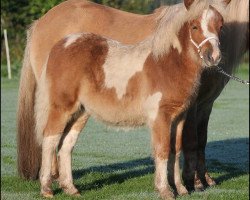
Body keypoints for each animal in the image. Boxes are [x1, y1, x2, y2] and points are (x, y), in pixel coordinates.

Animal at [17, 0, 248, 192]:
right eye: (194, 27)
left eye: (221, 26)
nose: (213, 56)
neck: (165, 64)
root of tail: (63, 44)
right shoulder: (163, 117)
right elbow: (164, 150)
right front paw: (170, 190)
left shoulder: (180, 116)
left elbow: (176, 150)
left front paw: (182, 189)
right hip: (61, 107)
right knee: (49, 139)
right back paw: (47, 188)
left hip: (81, 112)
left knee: (66, 145)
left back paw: (71, 189)